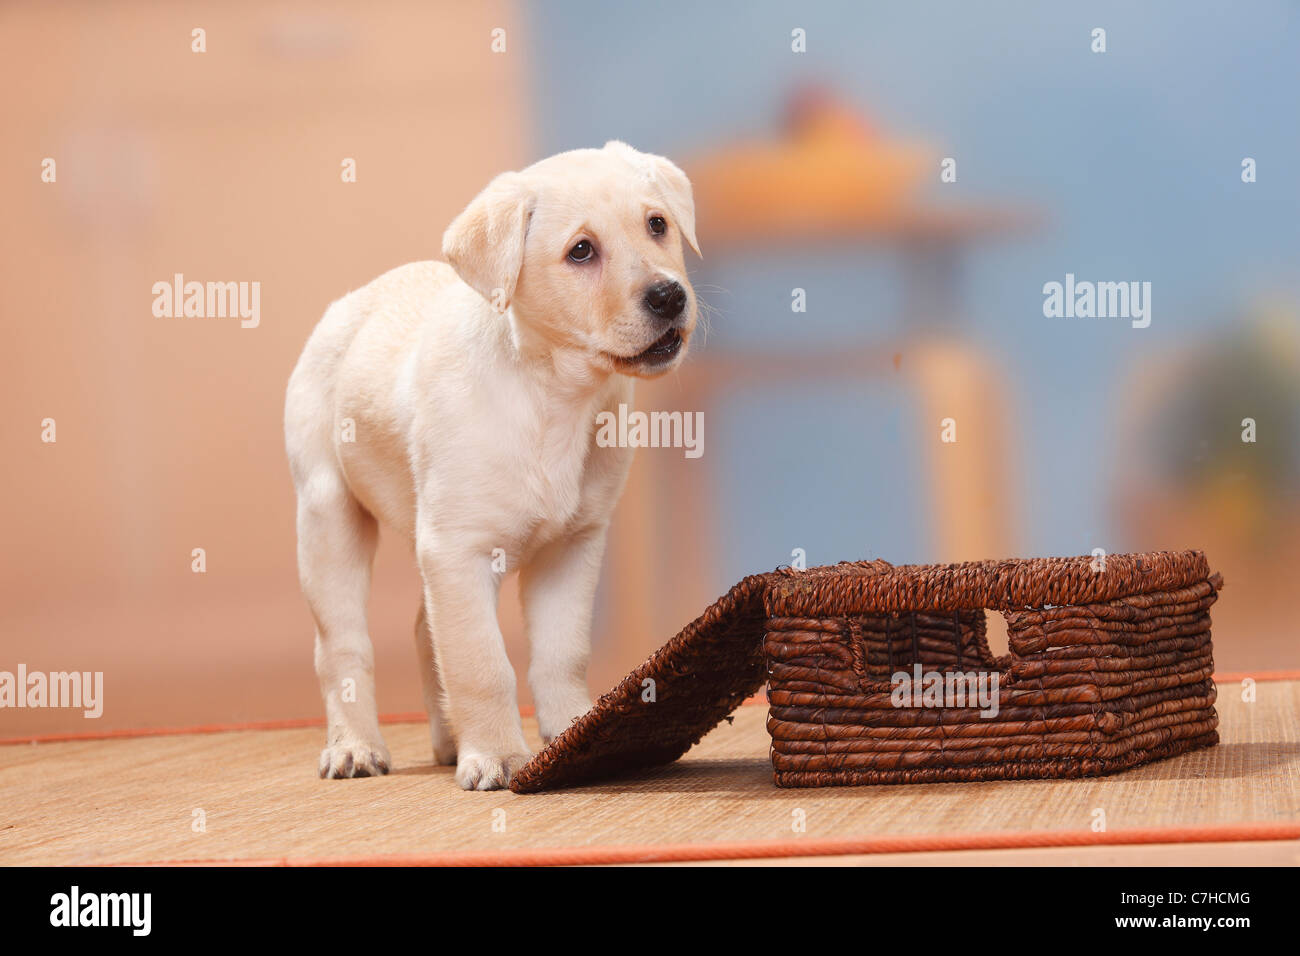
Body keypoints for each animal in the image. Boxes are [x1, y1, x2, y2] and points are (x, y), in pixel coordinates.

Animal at [286, 138, 702, 790]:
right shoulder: (458, 552)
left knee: (422, 632)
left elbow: (562, 653)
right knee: (343, 650)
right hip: (329, 519)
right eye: (581, 251)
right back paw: (354, 747)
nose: (669, 296)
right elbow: (480, 663)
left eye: (657, 225)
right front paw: (500, 756)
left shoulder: (572, 548)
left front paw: (577, 732)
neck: (555, 399)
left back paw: (447, 740)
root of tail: (352, 301)